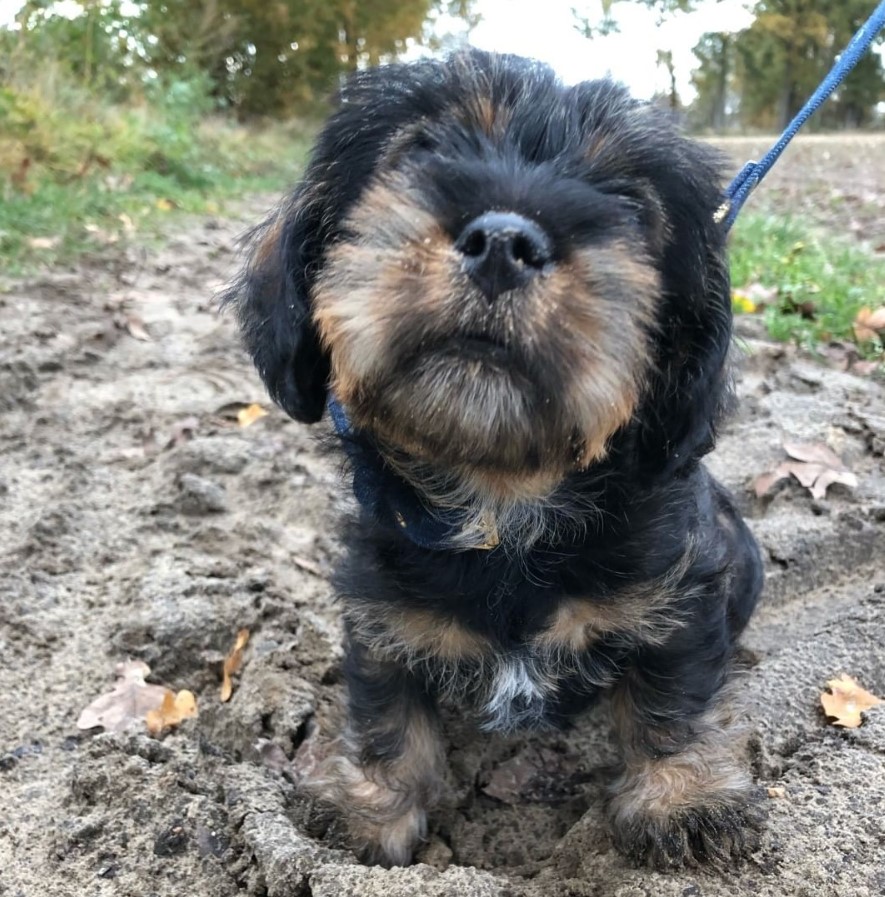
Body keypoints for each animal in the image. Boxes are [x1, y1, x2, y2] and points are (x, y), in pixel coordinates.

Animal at [223, 47, 768, 868]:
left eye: (628, 202)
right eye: (420, 150)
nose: (504, 242)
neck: (503, 508)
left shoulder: (680, 594)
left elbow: (672, 694)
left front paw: (685, 798)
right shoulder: (381, 613)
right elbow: (389, 711)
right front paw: (368, 810)